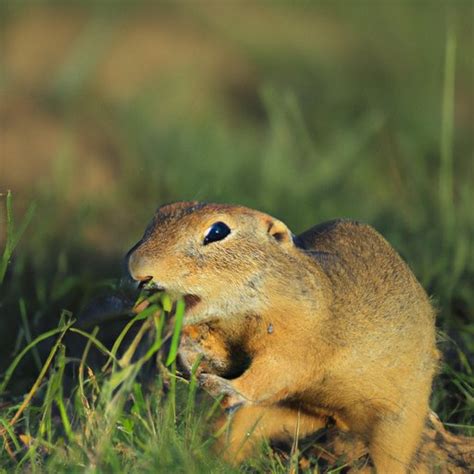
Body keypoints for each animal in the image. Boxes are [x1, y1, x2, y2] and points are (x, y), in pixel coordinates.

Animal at [127, 201, 440, 474]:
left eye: (217, 231)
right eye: (159, 213)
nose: (136, 268)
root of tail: (341, 421)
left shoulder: (299, 339)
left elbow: (275, 371)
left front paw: (222, 385)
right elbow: (226, 357)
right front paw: (188, 349)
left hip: (399, 423)